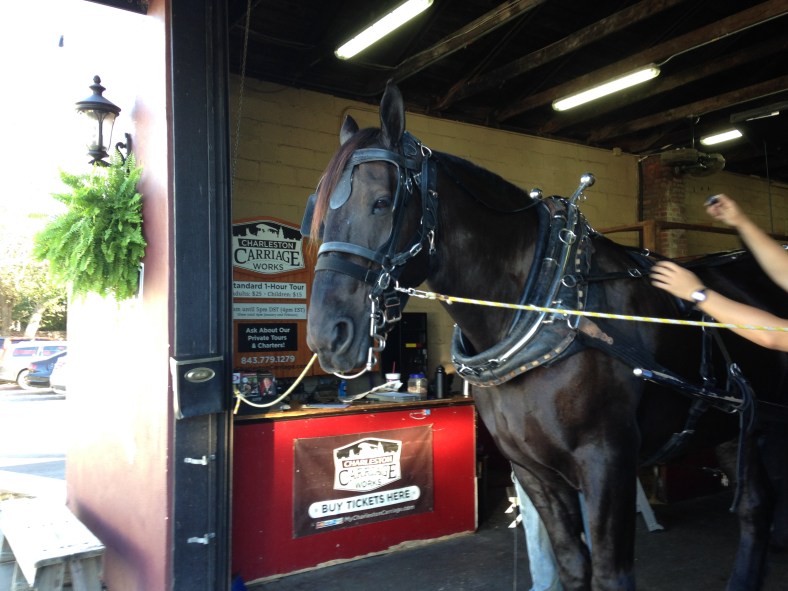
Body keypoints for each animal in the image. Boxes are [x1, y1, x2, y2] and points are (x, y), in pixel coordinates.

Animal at [302, 82, 788, 590]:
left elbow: (611, 573)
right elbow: (572, 564)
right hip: (738, 427)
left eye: (382, 201)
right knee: (756, 504)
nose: (328, 335)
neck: (550, 308)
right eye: (316, 211)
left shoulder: (607, 461)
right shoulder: (533, 471)